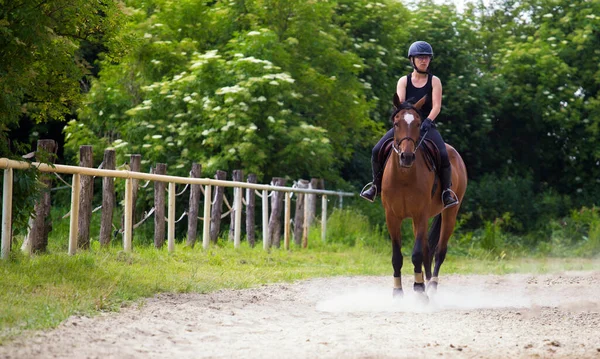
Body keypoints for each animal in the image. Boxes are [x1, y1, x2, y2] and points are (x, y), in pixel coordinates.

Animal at [380, 94, 468, 300]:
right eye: (396, 123)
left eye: (419, 123)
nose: (406, 157)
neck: (404, 176)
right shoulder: (392, 217)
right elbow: (397, 256)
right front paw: (398, 292)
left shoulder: (420, 215)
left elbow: (417, 254)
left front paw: (419, 291)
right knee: (428, 250)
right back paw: (427, 282)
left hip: (450, 213)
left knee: (439, 251)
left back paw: (432, 286)